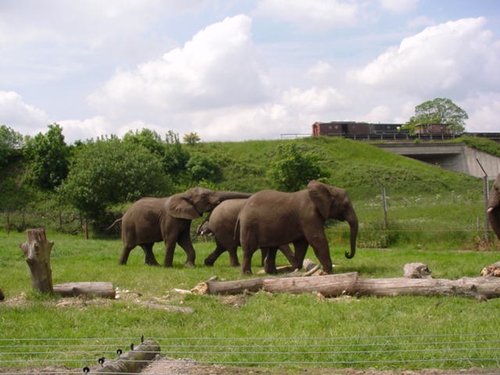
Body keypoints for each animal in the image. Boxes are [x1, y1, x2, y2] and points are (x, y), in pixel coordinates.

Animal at [115, 188, 252, 268]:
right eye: (204, 196)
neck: (184, 195)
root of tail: (124, 214)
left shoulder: (184, 219)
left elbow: (184, 240)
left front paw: (189, 266)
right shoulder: (170, 218)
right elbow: (171, 239)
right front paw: (168, 267)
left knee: (147, 245)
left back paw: (154, 265)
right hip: (129, 226)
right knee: (129, 246)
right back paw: (122, 265)